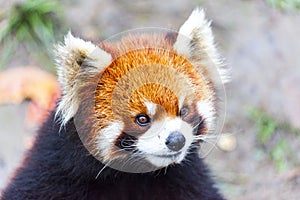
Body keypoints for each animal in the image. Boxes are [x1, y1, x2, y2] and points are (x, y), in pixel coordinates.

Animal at [1, 7, 229, 199]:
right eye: (142, 119)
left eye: (184, 111)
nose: (176, 140)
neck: (134, 176)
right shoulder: (51, 170)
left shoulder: (187, 179)